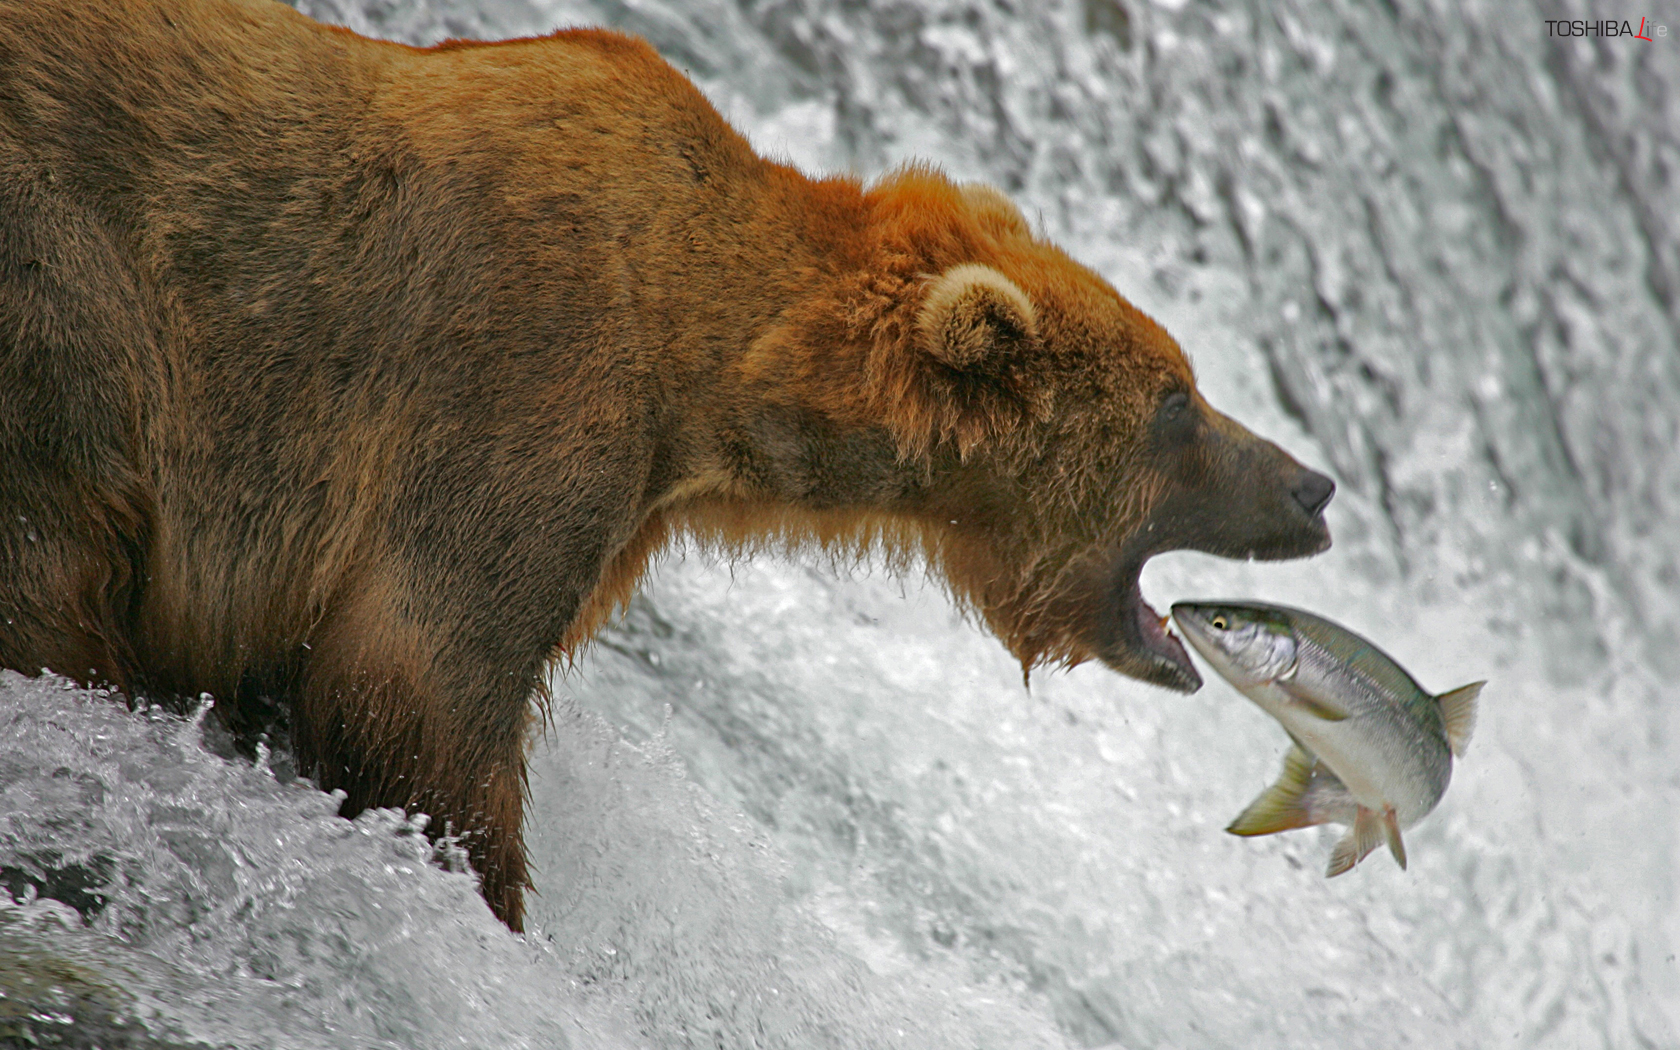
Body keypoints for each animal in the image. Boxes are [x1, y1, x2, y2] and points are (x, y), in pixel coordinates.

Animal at [3, 2, 1337, 934]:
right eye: (1179, 402)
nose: (1313, 485)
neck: (699, 364)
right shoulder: (514, 385)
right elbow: (415, 681)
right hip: (72, 306)